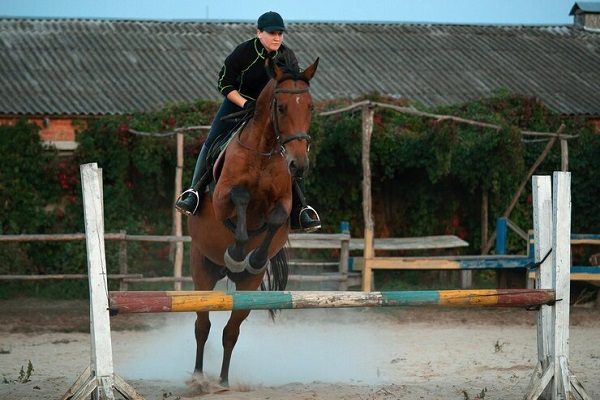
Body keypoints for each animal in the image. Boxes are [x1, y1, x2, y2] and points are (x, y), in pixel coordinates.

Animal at [189, 55, 322, 384]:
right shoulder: (222, 197)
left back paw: (224, 381)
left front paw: (253, 257)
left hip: (248, 288)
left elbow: (275, 217)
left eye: (310, 107)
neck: (264, 151)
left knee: (231, 332)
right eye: (281, 107)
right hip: (202, 273)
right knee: (202, 326)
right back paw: (198, 376)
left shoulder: (284, 204)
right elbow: (241, 198)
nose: (298, 165)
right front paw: (237, 253)